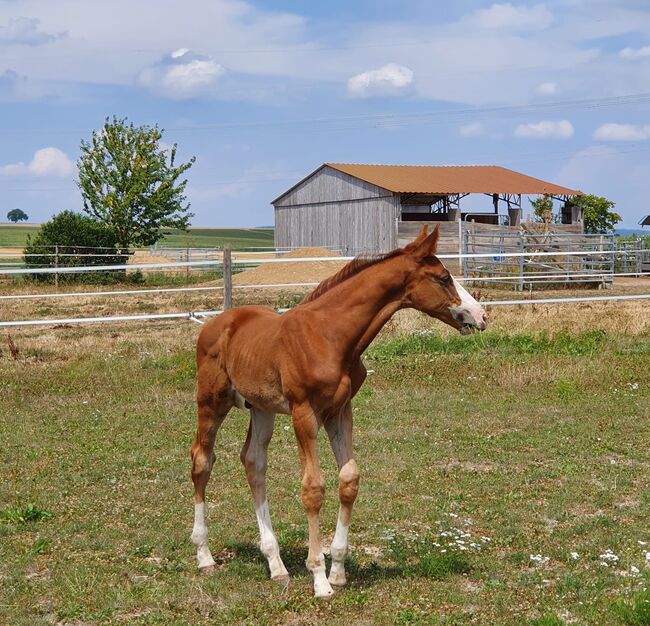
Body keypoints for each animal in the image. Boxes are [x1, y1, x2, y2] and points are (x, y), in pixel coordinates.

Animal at [190, 223, 484, 596]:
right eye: (444, 278)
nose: (482, 316)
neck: (330, 336)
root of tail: (213, 324)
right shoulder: (304, 412)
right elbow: (313, 488)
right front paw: (319, 578)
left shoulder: (340, 411)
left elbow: (349, 480)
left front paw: (338, 571)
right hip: (212, 401)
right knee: (202, 460)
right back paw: (205, 556)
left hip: (262, 407)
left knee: (254, 462)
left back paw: (276, 564)